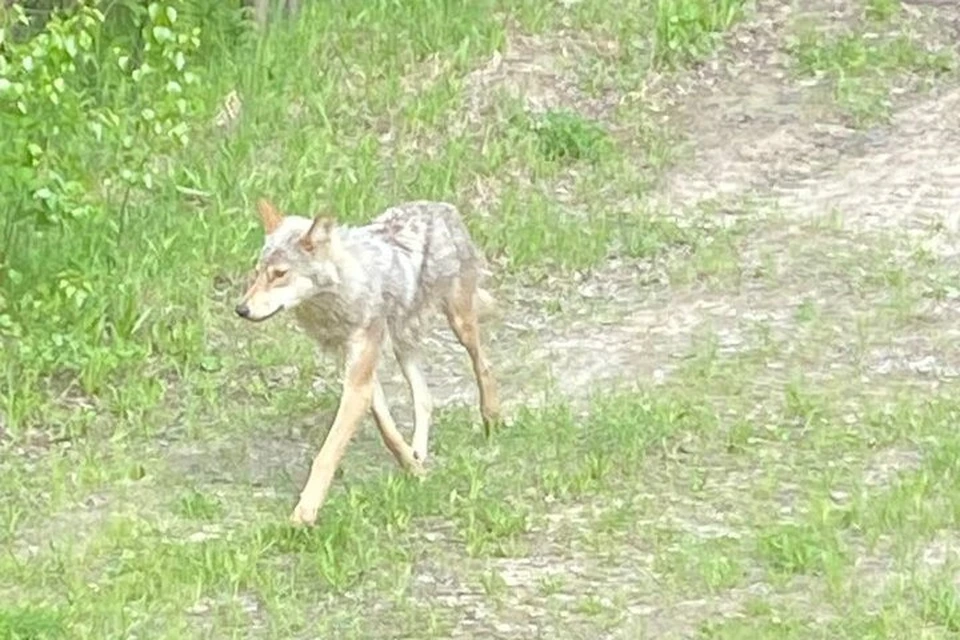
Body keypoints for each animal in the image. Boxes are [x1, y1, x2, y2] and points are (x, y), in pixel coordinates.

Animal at [236, 199, 502, 524]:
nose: (241, 309)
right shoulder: (359, 373)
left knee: (483, 362)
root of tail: (441, 205)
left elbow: (327, 454)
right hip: (403, 345)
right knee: (425, 397)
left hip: (459, 324)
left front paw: (304, 513)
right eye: (258, 272)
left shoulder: (358, 381)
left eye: (279, 274)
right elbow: (388, 430)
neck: (340, 298)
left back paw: (492, 417)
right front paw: (413, 467)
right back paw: (420, 451)